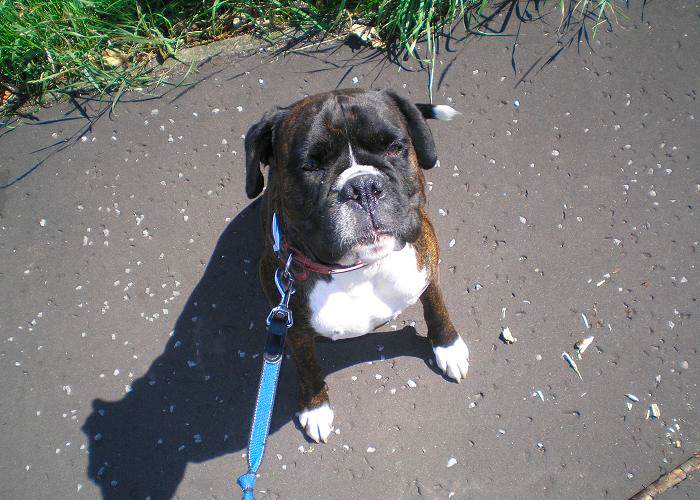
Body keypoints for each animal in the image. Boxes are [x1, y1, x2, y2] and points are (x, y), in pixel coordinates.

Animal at [243, 88, 468, 444]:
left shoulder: (428, 269)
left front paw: (448, 347)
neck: (361, 269)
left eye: (394, 147)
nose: (362, 187)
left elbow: (436, 307)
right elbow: (306, 365)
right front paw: (315, 407)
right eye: (310, 166)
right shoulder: (291, 324)